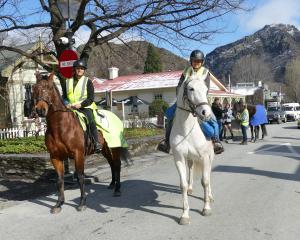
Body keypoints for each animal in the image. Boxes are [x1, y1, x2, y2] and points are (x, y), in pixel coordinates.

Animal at [32, 72, 127, 213]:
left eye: (48, 88)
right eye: (34, 88)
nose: (40, 110)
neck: (60, 127)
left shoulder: (78, 154)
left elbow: (81, 177)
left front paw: (82, 202)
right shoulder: (55, 157)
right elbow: (59, 180)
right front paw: (58, 204)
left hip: (114, 147)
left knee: (117, 165)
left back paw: (117, 189)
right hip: (104, 149)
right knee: (111, 163)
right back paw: (111, 184)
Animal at [170, 74, 214, 225]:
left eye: (206, 90)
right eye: (191, 89)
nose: (206, 113)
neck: (186, 130)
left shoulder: (204, 157)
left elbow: (205, 181)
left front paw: (206, 208)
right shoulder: (179, 158)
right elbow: (182, 184)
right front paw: (184, 215)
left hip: (211, 157)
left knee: (209, 175)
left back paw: (210, 195)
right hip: (190, 158)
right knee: (191, 168)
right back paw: (190, 188)